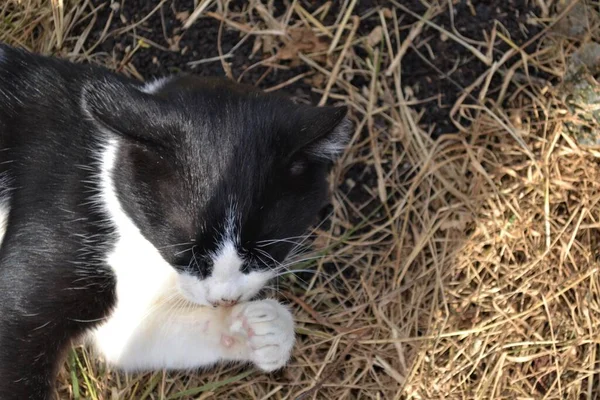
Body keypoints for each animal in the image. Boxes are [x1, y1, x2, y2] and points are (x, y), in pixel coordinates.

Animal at [0, 44, 352, 400]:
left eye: (263, 253)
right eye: (184, 251)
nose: (224, 299)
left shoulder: (126, 321)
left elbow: (130, 337)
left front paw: (263, 329)